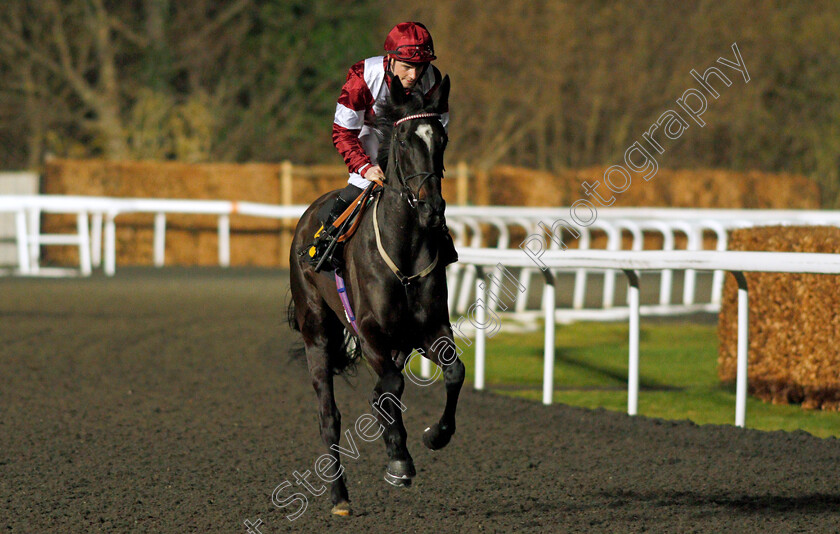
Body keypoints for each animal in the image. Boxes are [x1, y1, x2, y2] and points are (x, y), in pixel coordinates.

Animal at [288, 73, 466, 516]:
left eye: (441, 138)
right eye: (403, 140)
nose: (432, 208)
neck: (403, 250)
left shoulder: (430, 328)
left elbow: (452, 372)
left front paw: (434, 435)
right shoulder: (370, 334)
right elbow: (391, 388)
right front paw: (399, 460)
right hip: (316, 332)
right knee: (329, 416)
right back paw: (339, 496)